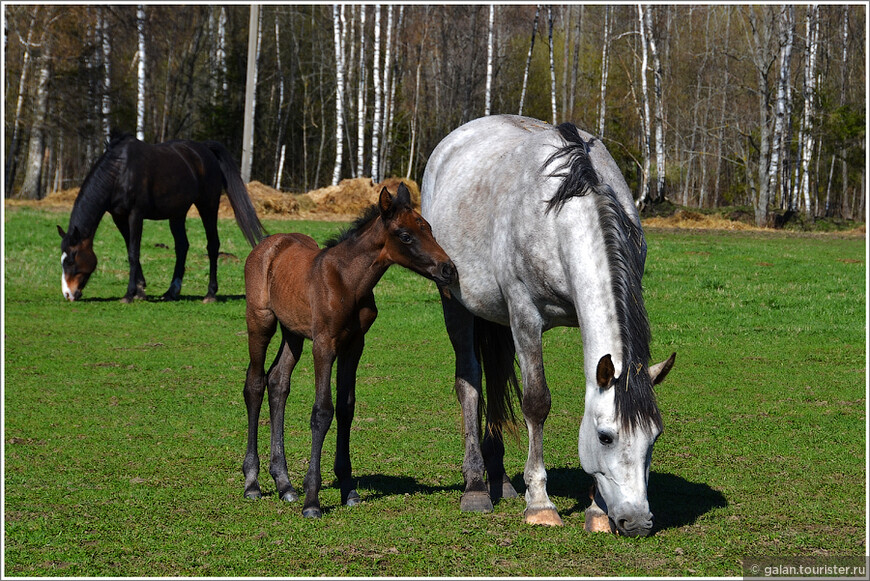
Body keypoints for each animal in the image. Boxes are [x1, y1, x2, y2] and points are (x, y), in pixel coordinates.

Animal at [58, 133, 266, 302]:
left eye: (71, 260)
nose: (68, 294)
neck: (119, 172)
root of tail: (204, 149)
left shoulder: (136, 215)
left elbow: (133, 252)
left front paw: (129, 294)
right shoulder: (119, 217)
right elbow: (130, 248)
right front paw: (140, 290)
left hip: (208, 206)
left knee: (212, 245)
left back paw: (210, 294)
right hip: (178, 214)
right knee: (182, 247)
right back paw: (172, 291)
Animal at [238, 182, 456, 516]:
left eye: (428, 229)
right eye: (405, 236)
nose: (449, 270)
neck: (347, 281)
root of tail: (269, 243)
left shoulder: (354, 344)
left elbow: (345, 408)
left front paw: (349, 488)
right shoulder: (325, 344)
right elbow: (322, 411)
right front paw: (312, 500)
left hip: (293, 333)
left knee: (278, 382)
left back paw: (285, 484)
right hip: (261, 321)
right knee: (255, 384)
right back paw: (253, 483)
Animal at [420, 115, 676, 536]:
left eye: (653, 438)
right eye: (605, 437)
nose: (637, 521)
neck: (565, 213)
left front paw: (596, 511)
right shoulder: (525, 315)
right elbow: (536, 402)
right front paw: (539, 503)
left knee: (495, 380)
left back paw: (501, 482)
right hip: (453, 300)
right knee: (470, 383)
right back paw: (476, 488)